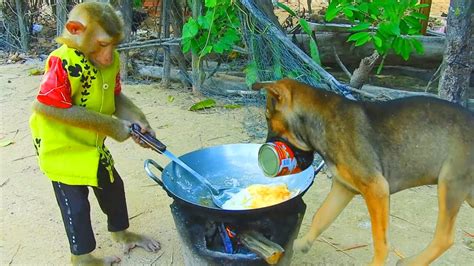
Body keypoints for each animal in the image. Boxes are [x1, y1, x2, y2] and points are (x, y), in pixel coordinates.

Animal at [30, 1, 162, 264]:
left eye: (114, 45)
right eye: (102, 44)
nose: (110, 57)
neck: (86, 57)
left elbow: (116, 96)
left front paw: (144, 131)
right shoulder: (58, 68)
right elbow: (50, 107)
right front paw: (122, 129)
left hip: (102, 166)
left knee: (113, 190)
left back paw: (125, 236)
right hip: (65, 173)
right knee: (76, 209)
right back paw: (85, 259)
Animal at [252, 79, 474, 266]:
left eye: (268, 117)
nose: (264, 151)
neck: (322, 120)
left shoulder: (376, 188)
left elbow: (380, 241)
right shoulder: (343, 187)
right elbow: (321, 216)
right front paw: (303, 243)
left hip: (450, 183)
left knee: (444, 238)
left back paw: (411, 262)